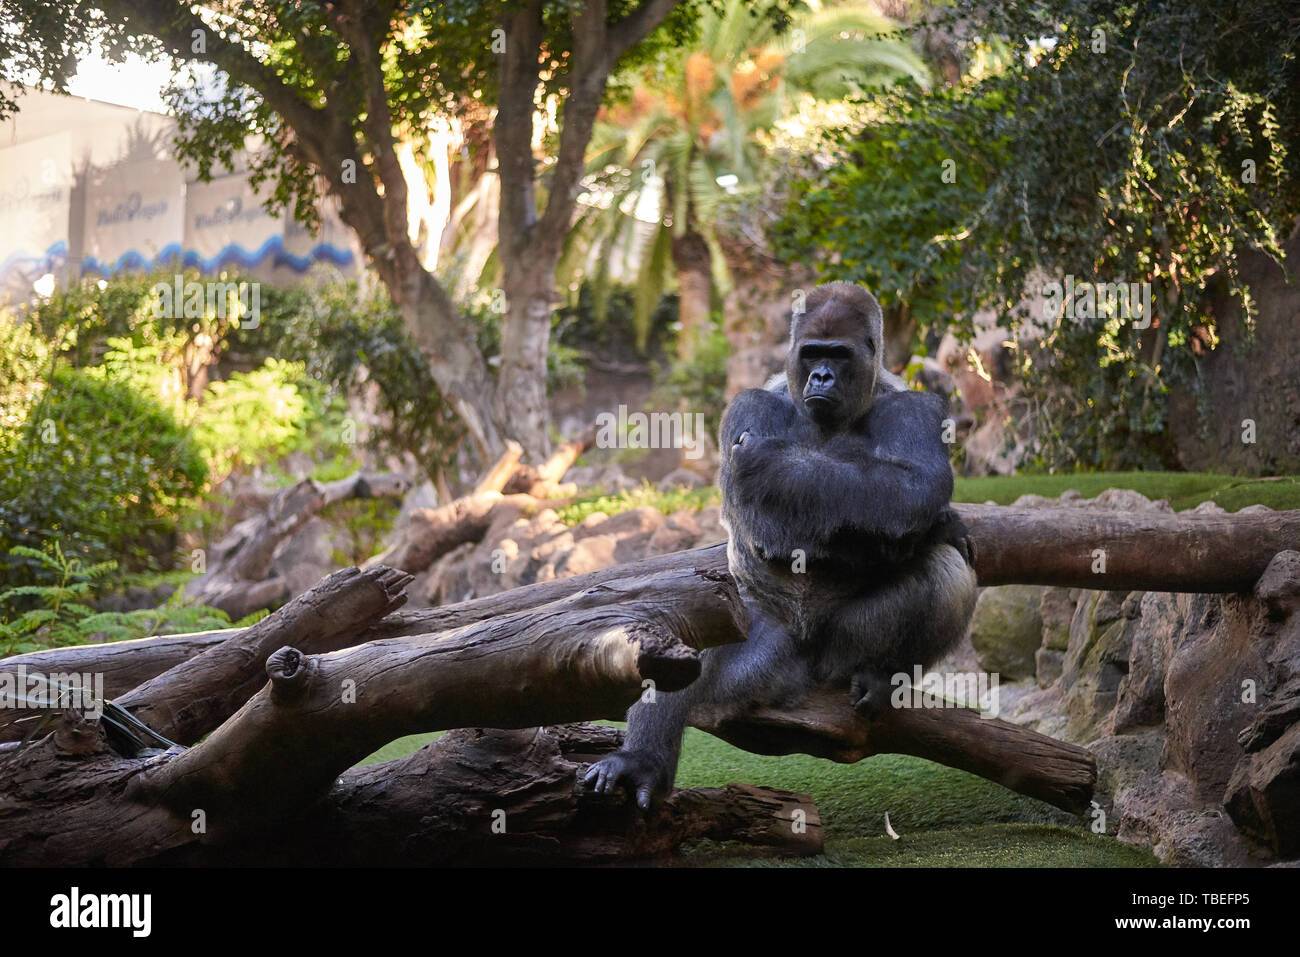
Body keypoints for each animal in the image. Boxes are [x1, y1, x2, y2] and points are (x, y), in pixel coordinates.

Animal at [587, 282, 977, 806]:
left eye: (839, 355)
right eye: (811, 352)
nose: (821, 375)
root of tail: (798, 677)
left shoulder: (915, 408)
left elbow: (913, 489)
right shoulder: (751, 403)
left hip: (837, 660)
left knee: (946, 566)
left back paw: (885, 671)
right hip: (755, 662)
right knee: (684, 633)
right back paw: (642, 760)